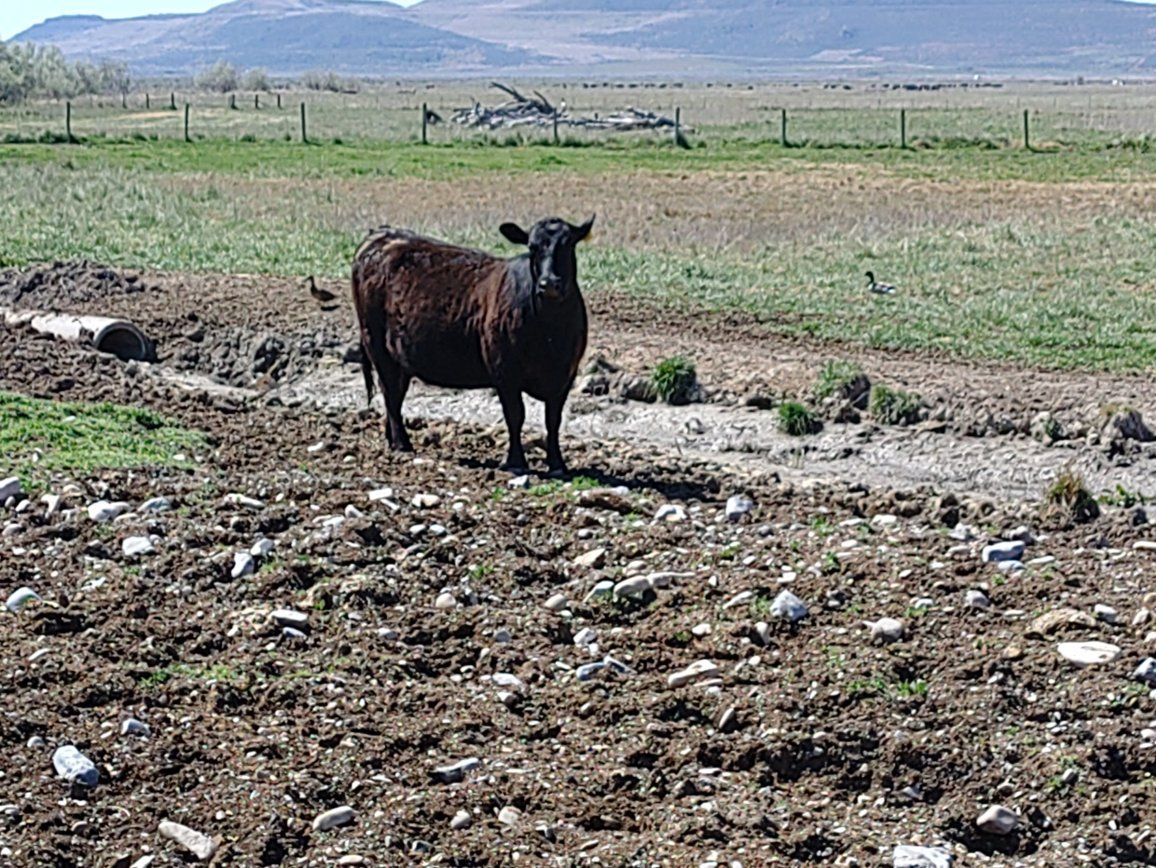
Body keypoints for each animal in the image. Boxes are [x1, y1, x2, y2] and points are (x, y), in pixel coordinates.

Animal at [351, 215, 594, 477]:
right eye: (532, 247)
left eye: (568, 244)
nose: (548, 284)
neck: (549, 332)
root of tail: (382, 234)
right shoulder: (504, 372)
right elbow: (515, 415)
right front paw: (515, 462)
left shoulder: (565, 375)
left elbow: (553, 420)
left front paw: (558, 465)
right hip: (376, 345)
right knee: (391, 394)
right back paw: (402, 444)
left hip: (399, 357)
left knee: (394, 396)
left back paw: (392, 440)